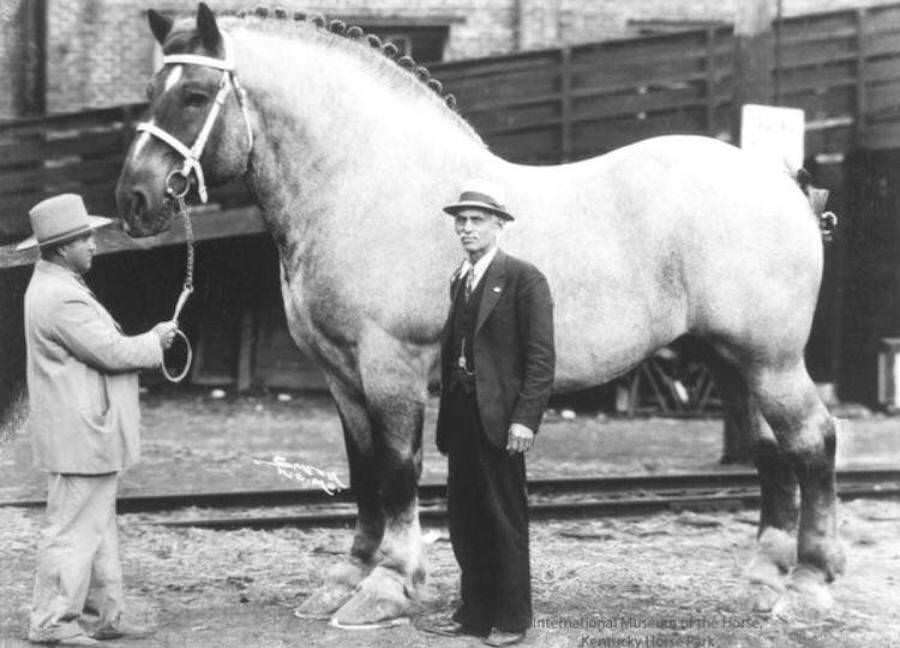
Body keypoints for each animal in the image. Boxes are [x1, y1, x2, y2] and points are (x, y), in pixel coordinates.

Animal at [118, 3, 844, 628]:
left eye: (193, 95)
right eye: (152, 88)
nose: (134, 199)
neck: (369, 185)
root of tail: (784, 183)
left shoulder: (392, 365)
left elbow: (397, 470)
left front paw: (388, 586)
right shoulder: (341, 375)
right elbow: (362, 471)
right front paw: (347, 577)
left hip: (770, 360)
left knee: (812, 441)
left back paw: (810, 585)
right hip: (729, 361)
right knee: (769, 450)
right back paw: (763, 579)